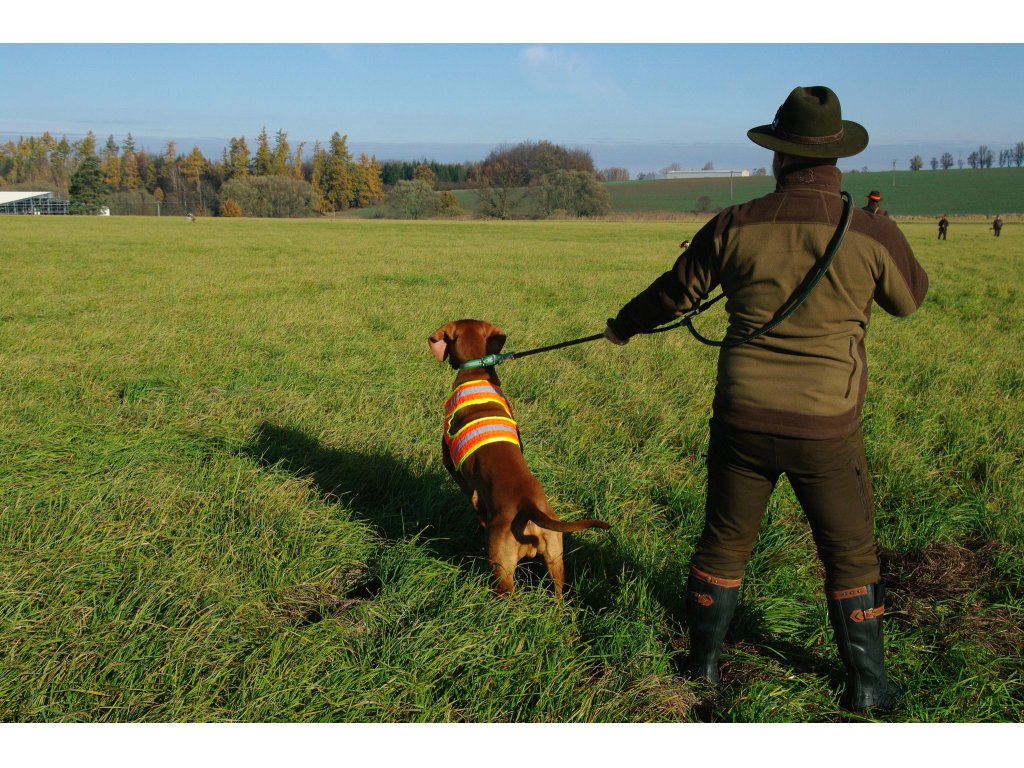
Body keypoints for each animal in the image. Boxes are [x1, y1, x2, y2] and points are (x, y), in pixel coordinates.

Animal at [430, 319, 610, 593]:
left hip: (501, 567)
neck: (477, 371)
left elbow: (469, 491)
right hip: (556, 559)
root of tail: (528, 507)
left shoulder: (451, 463)